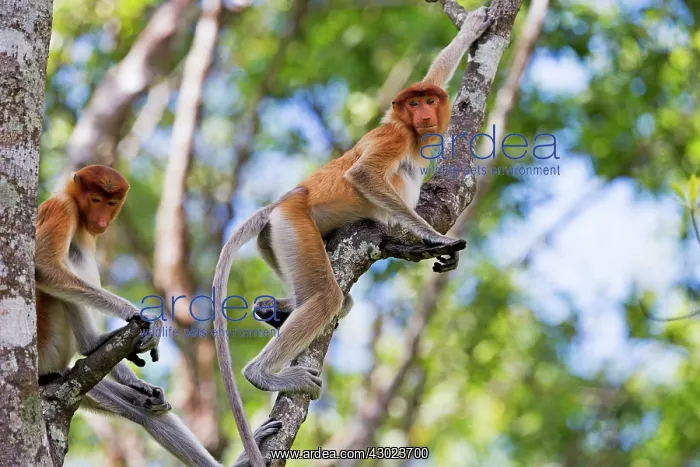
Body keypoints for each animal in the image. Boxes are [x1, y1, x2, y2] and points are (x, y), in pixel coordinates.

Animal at [35, 165, 280, 467]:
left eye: (111, 202)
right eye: (95, 199)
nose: (101, 220)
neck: (78, 213)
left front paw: (137, 382)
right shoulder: (61, 208)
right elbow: (44, 267)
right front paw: (145, 319)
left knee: (147, 413)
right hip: (48, 346)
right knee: (63, 264)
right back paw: (92, 343)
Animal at [211, 7, 494, 466]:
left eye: (429, 99)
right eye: (413, 103)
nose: (425, 113)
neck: (412, 134)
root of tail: (284, 200)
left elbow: (439, 67)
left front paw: (475, 26)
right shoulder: (393, 134)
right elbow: (362, 174)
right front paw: (435, 239)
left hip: (277, 241)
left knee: (334, 300)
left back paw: (273, 309)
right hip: (295, 227)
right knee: (327, 298)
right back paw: (264, 373)